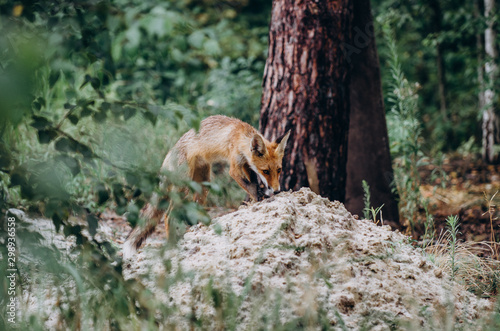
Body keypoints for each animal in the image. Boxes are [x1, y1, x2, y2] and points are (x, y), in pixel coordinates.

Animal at [122, 115, 292, 260]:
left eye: (279, 170)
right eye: (266, 171)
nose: (277, 190)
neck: (240, 135)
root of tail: (167, 158)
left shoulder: (246, 165)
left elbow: (254, 184)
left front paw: (257, 199)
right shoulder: (234, 168)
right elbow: (249, 186)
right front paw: (258, 198)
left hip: (203, 186)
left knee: (195, 209)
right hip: (183, 188)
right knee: (168, 215)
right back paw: (172, 245)